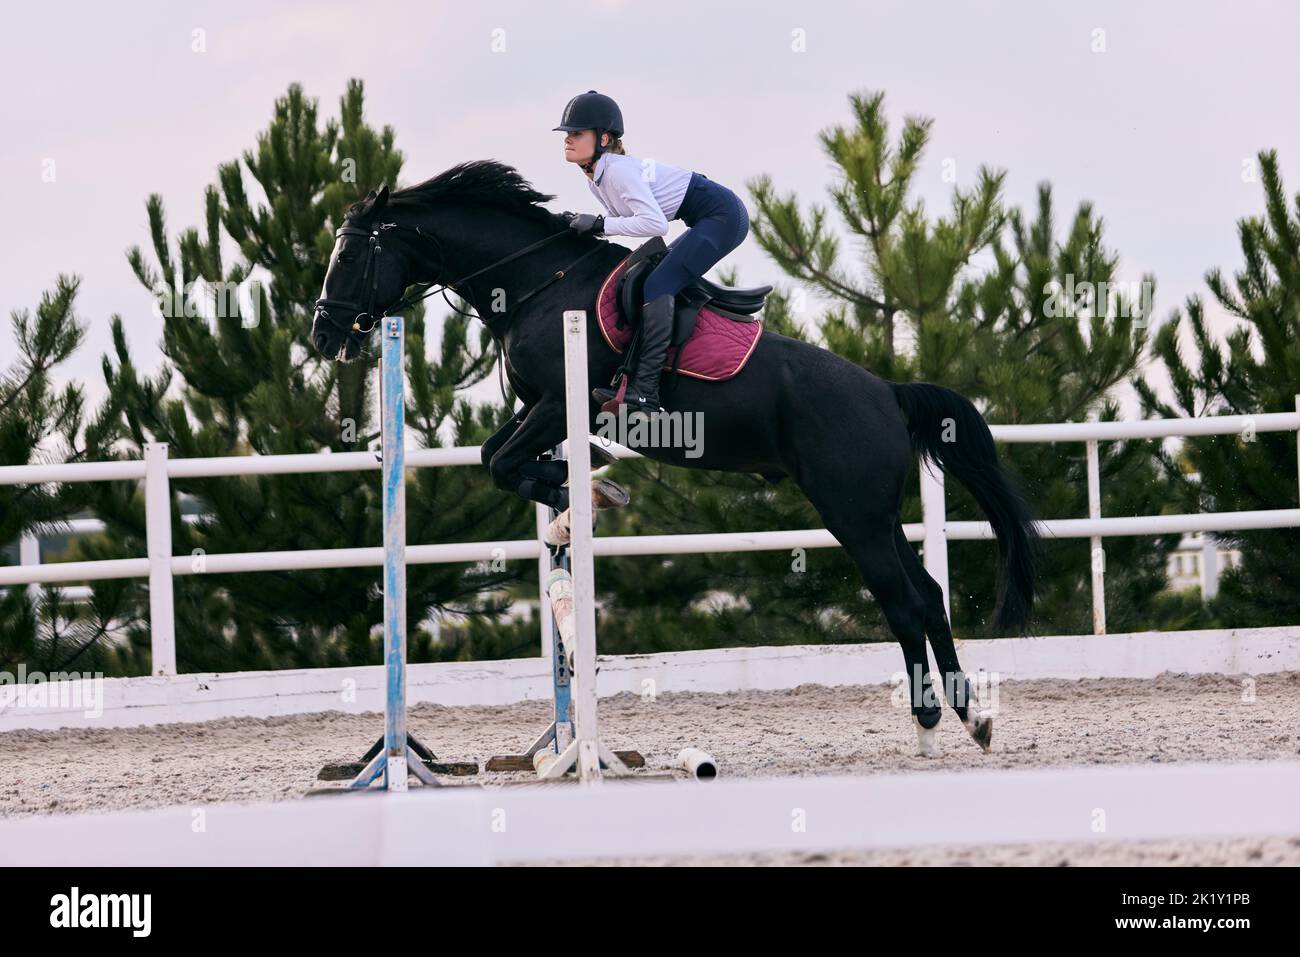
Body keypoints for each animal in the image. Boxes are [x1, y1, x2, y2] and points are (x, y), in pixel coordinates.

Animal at [312, 160, 1034, 748]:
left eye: (347, 256)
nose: (324, 334)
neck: (535, 282)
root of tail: (888, 392)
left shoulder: (560, 402)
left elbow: (502, 462)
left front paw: (586, 484)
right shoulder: (539, 407)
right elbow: (498, 456)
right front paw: (578, 487)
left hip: (853, 516)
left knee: (904, 602)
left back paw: (932, 717)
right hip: (875, 516)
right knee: (930, 596)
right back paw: (970, 716)